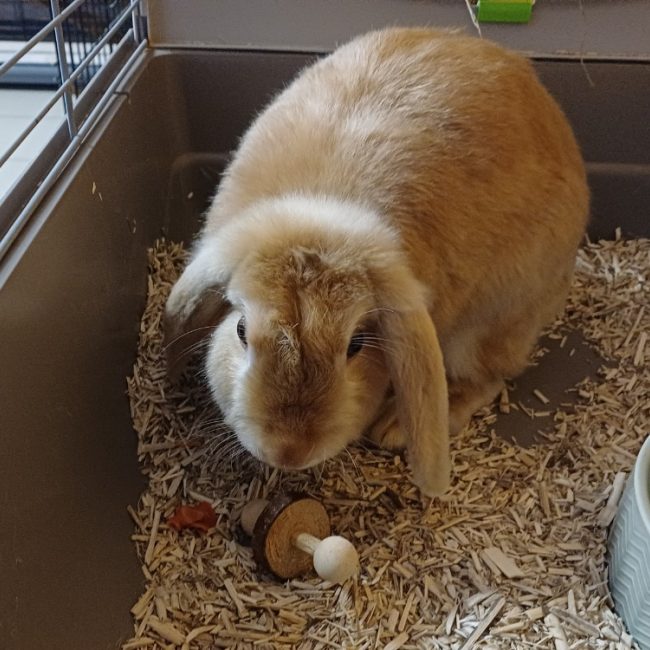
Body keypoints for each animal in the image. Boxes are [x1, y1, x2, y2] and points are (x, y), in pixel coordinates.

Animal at [164, 27, 589, 497]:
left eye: (357, 345)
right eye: (240, 330)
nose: (289, 451)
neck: (318, 218)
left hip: (488, 326)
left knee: (489, 377)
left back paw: (396, 426)